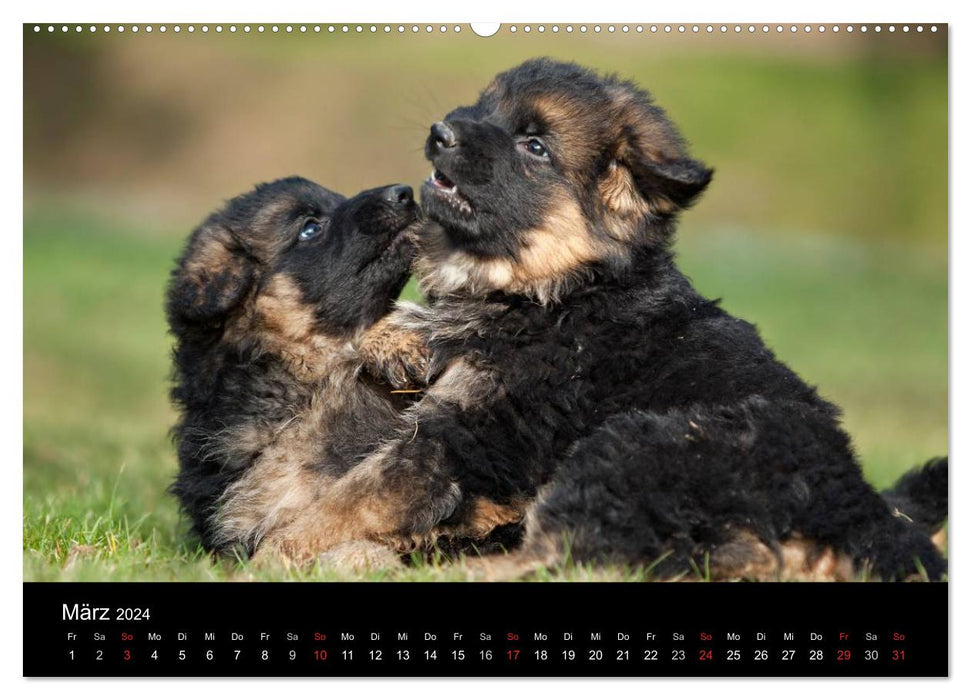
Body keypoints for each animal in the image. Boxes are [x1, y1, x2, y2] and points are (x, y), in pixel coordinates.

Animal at [300, 58, 944, 580]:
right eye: (485, 109)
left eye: (535, 146)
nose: (441, 133)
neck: (563, 289)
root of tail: (864, 523)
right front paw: (392, 339)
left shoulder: (466, 430)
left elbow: (354, 493)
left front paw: (282, 546)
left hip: (632, 448)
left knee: (557, 559)